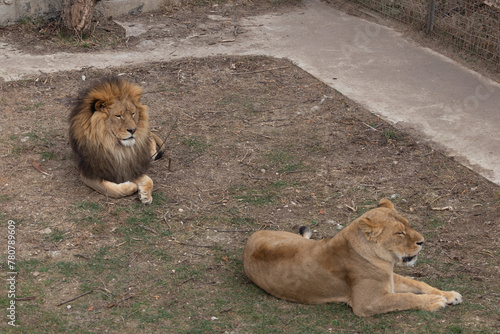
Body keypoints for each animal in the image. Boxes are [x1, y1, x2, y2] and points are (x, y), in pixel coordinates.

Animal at [242, 200, 460, 318]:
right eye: (400, 233)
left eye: (408, 224)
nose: (422, 242)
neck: (384, 260)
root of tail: (249, 241)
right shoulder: (367, 303)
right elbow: (405, 298)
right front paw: (435, 301)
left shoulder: (391, 280)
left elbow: (419, 284)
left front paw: (449, 294)